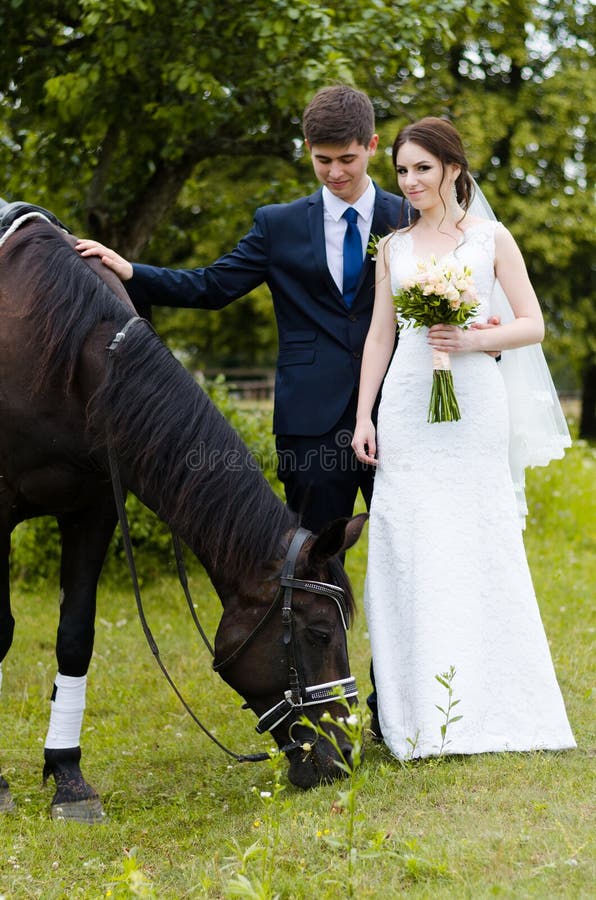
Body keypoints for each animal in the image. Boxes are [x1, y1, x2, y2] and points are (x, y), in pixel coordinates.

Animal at [0, 216, 366, 824]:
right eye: (318, 633)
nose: (345, 755)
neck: (74, 355)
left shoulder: (94, 509)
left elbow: (75, 637)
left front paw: (69, 778)